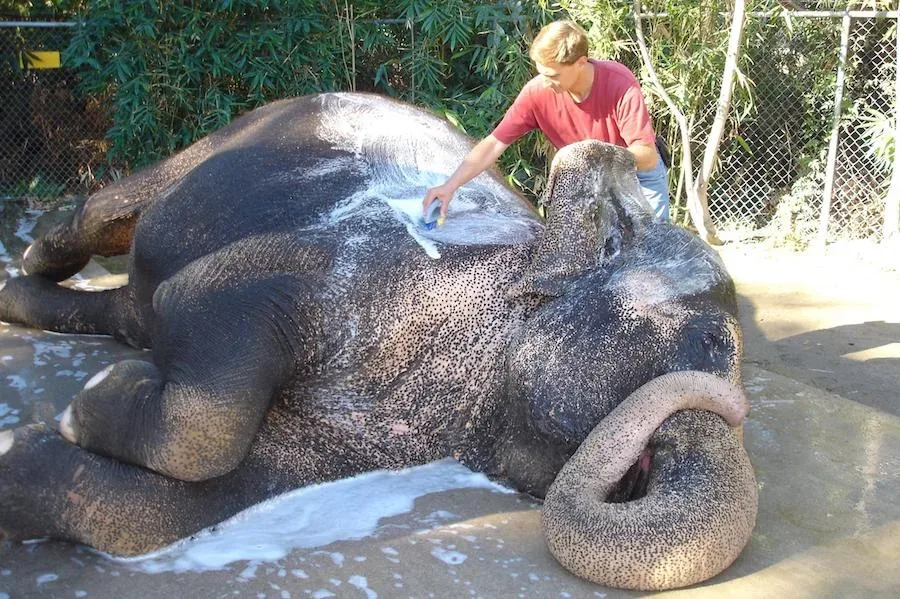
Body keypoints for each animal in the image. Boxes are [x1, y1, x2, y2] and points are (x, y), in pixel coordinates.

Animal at [0, 92, 757, 591]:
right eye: (711, 342)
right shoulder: (355, 271)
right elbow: (197, 301)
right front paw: (92, 398)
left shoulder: (374, 442)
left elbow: (183, 506)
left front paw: (41, 435)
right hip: (225, 139)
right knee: (108, 219)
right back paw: (31, 264)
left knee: (128, 309)